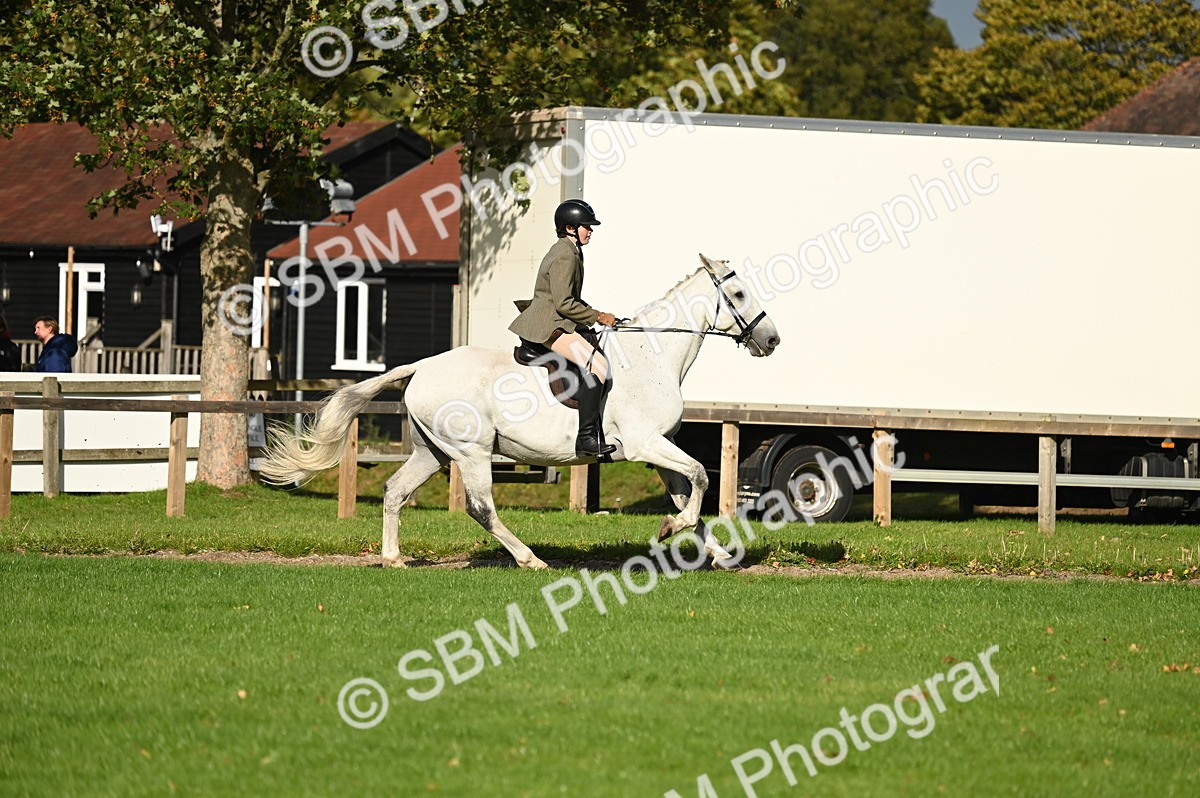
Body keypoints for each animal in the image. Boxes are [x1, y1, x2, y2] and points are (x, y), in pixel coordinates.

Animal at [259, 254, 781, 569]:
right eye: (737, 295)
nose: (772, 339)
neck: (653, 355)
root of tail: (423, 365)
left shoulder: (658, 448)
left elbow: (686, 491)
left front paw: (715, 552)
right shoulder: (645, 444)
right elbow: (700, 478)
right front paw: (677, 529)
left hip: (432, 451)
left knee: (394, 491)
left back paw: (393, 558)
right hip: (471, 452)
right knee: (481, 507)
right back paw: (529, 558)